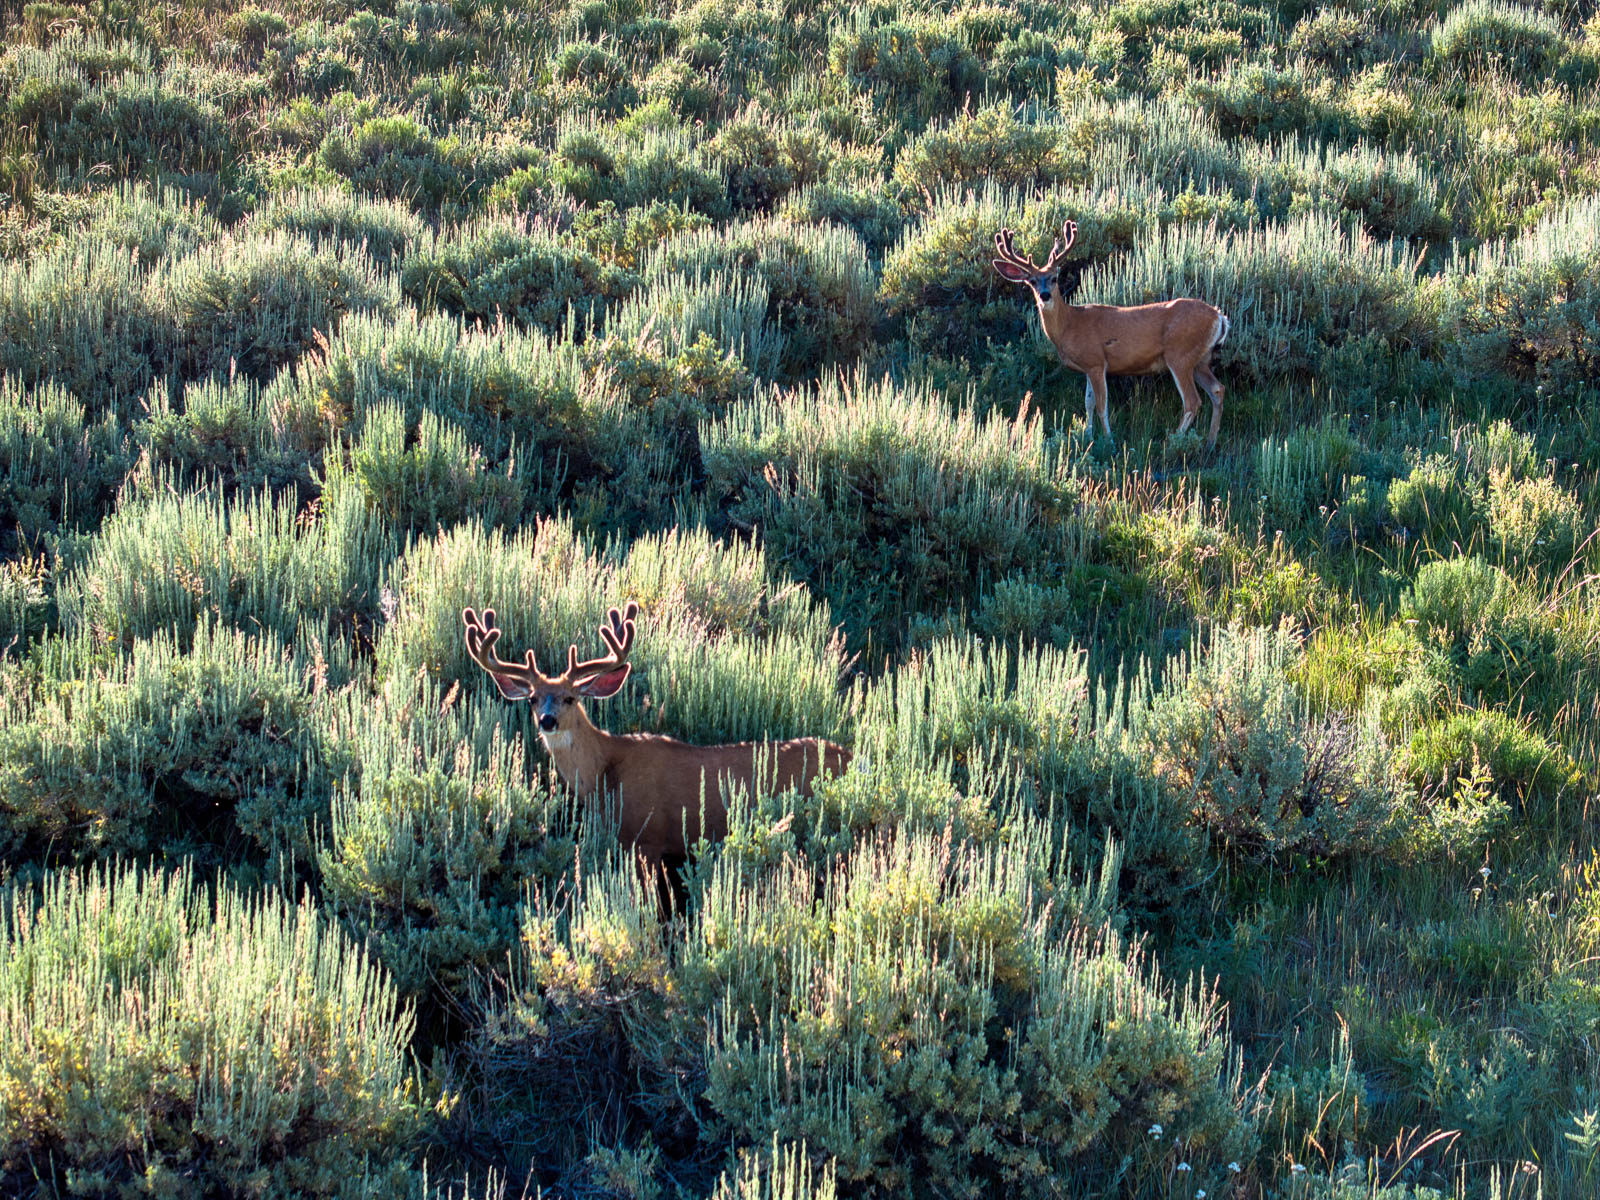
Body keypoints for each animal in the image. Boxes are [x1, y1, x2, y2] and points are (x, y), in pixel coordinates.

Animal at [461, 602, 851, 889]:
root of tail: (853, 758)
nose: (547, 720)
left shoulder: (647, 839)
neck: (604, 774)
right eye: (532, 698)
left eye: (570, 698)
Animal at [992, 220, 1231, 447]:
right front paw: (1088, 436)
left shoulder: (1097, 361)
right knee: (1218, 390)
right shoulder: (1087, 366)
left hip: (1180, 355)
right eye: (1031, 281)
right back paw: (1209, 443)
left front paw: (1109, 441)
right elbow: (1088, 403)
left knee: (1192, 400)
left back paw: (1173, 441)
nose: (1044, 295)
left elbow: (1101, 406)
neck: (1070, 323)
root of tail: (1220, 317)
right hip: (1200, 359)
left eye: (1054, 278)